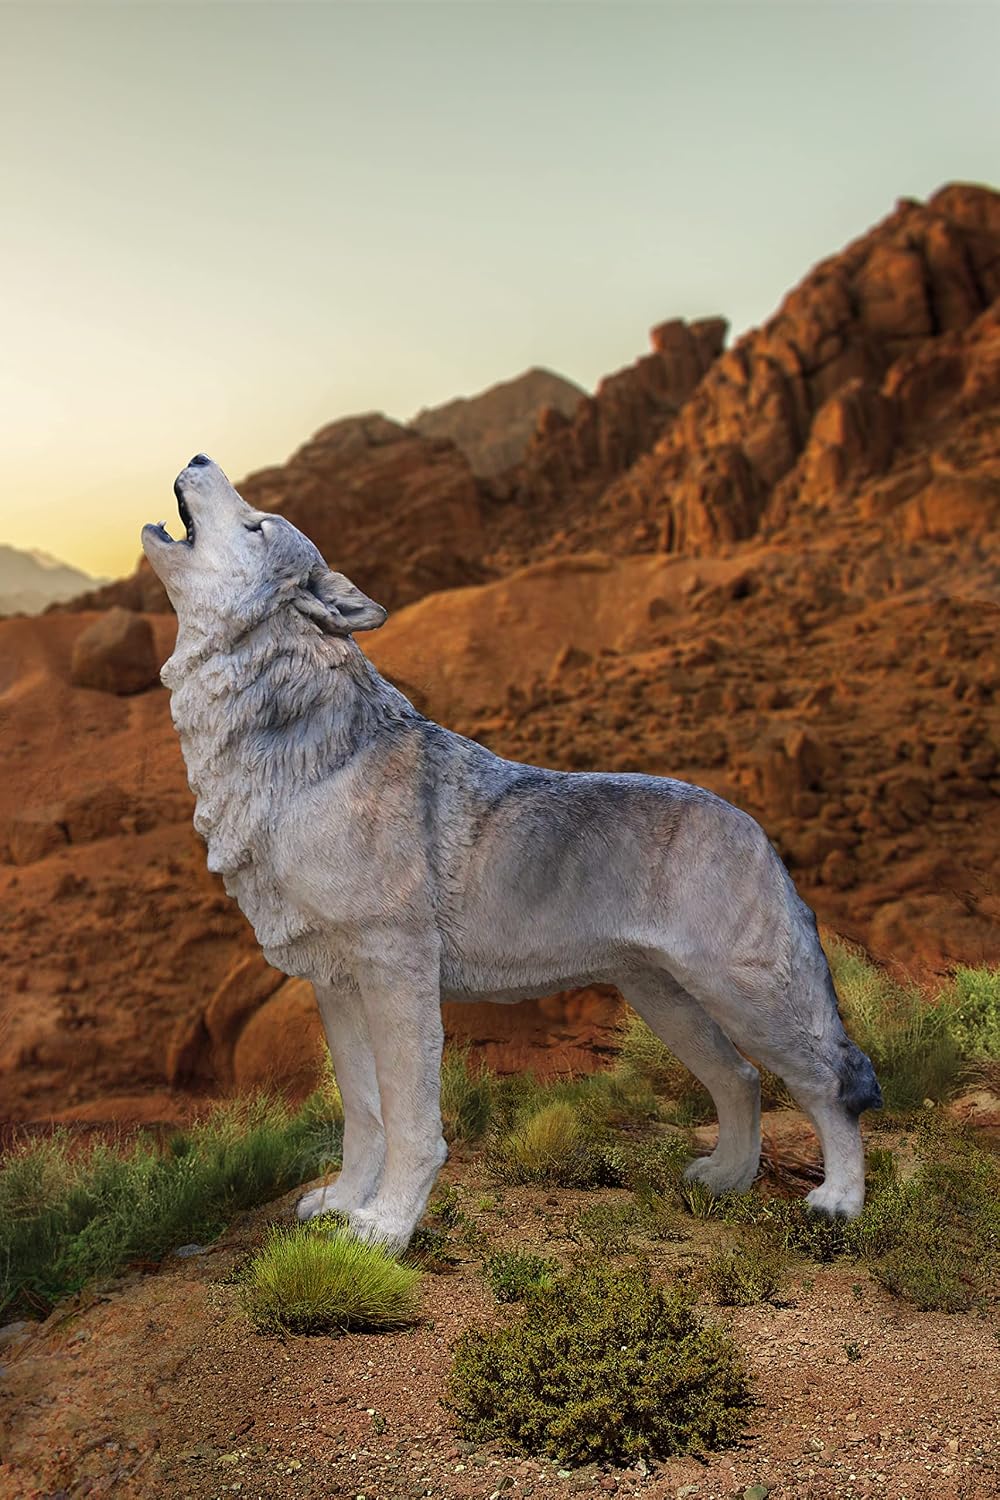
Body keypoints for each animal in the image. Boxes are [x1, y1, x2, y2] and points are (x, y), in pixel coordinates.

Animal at [142, 455, 881, 1250]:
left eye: (257, 525)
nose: (198, 458)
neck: (304, 756)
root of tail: (755, 829)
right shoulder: (335, 986)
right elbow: (364, 1116)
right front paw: (343, 1203)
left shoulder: (396, 971)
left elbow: (410, 1123)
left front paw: (386, 1230)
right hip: (665, 1002)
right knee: (741, 1081)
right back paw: (726, 1180)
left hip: (744, 999)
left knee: (829, 1085)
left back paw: (839, 1203)